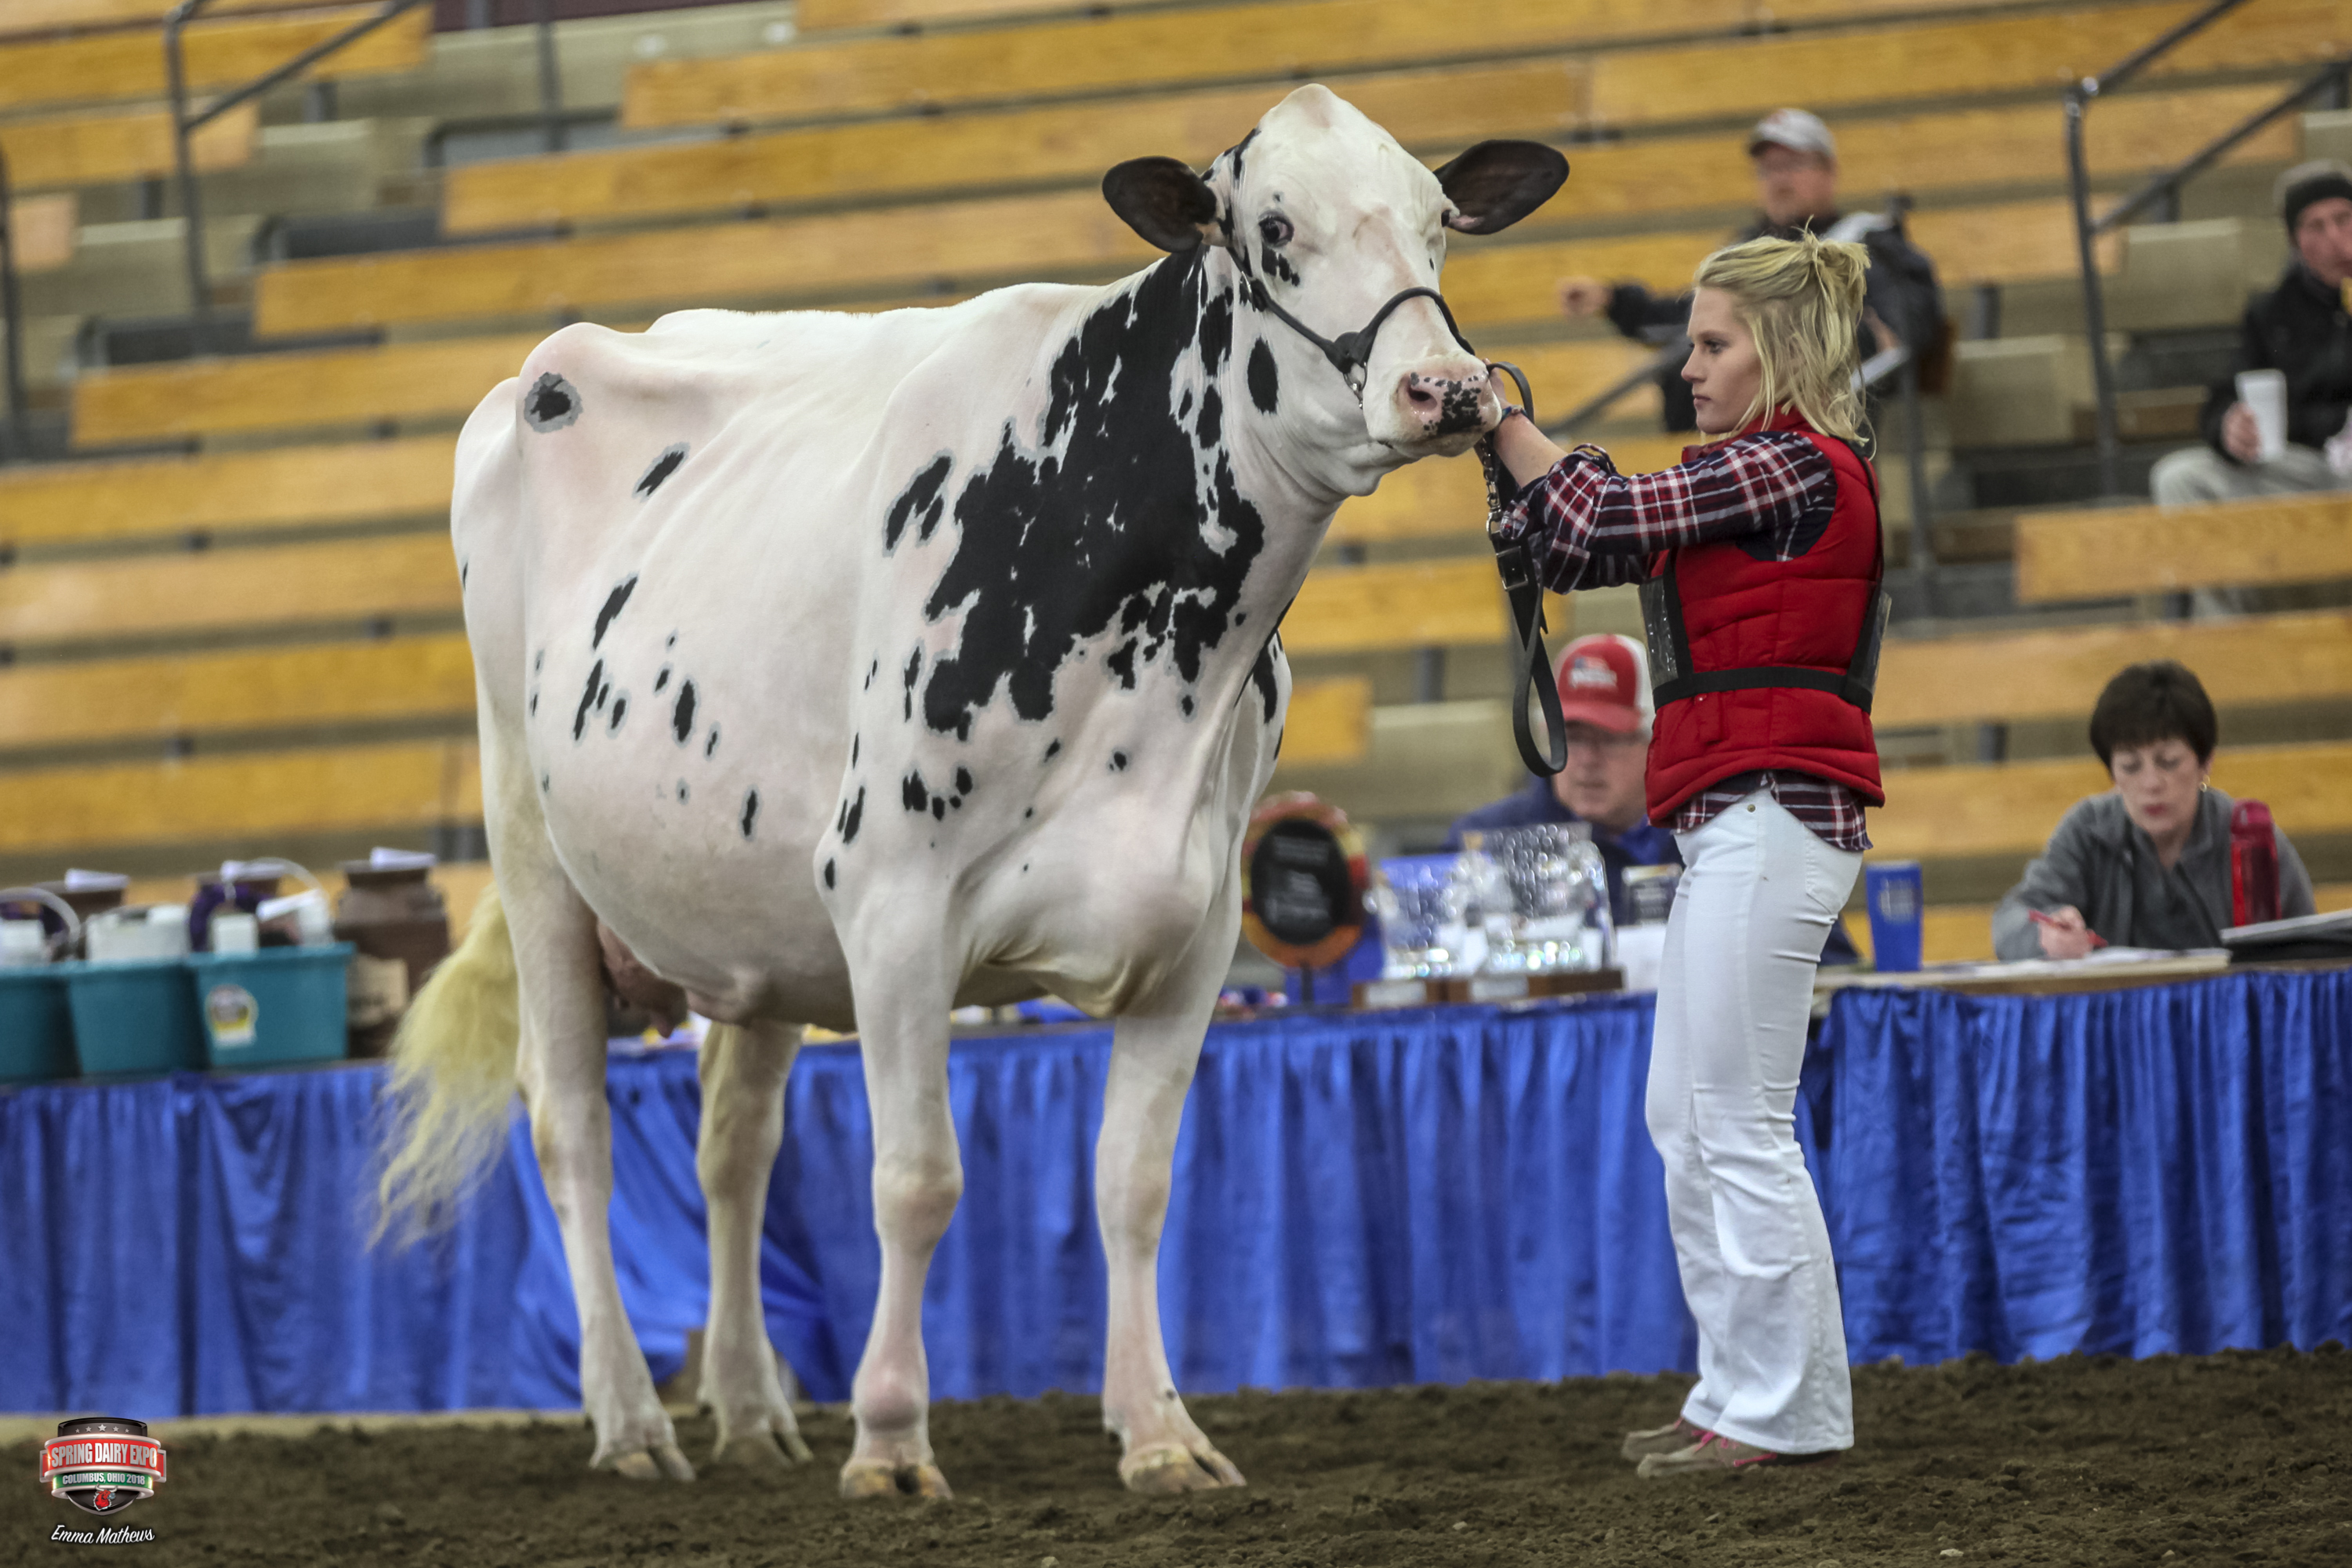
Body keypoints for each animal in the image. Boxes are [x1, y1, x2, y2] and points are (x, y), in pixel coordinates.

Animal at [378, 84, 1566, 1499]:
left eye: (1440, 218)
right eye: (1273, 227)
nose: (1446, 387)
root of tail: (541, 374)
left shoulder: (1194, 928)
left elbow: (1134, 1184)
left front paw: (1159, 1431)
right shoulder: (891, 900)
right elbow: (916, 1179)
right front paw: (892, 1439)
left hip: (749, 905)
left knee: (734, 1148)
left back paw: (752, 1411)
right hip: (532, 844)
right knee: (573, 1133)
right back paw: (632, 1423)